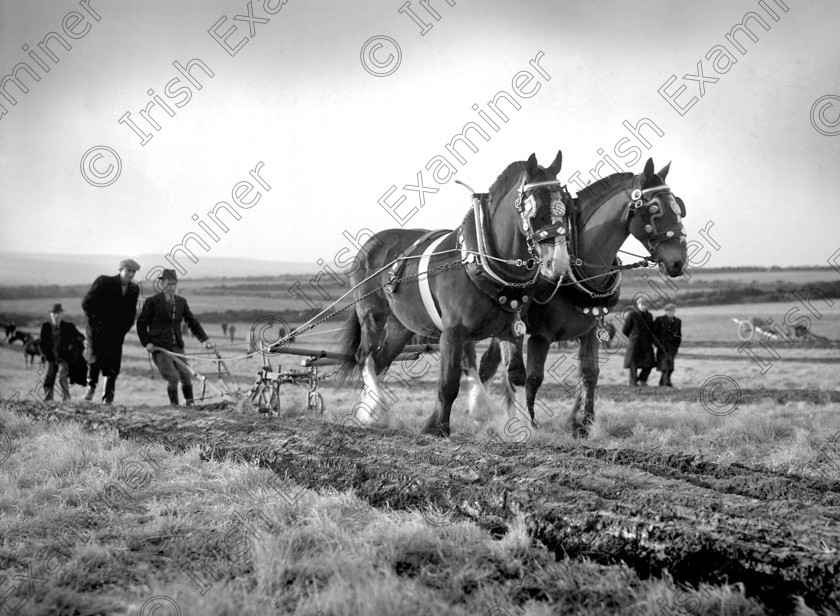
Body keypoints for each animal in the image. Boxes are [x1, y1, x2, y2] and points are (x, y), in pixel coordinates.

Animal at [338, 151, 576, 436]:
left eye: (566, 205)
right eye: (535, 209)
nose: (558, 263)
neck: (480, 260)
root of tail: (371, 243)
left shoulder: (512, 331)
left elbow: (516, 375)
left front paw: (521, 428)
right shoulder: (452, 332)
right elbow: (449, 381)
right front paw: (438, 427)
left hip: (400, 327)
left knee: (380, 360)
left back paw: (369, 412)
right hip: (372, 315)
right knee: (365, 357)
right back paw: (374, 411)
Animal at [480, 160, 688, 438]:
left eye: (678, 207)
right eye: (655, 208)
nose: (678, 262)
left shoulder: (590, 332)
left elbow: (591, 374)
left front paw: (583, 423)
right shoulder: (541, 336)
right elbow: (534, 378)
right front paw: (531, 424)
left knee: (490, 365)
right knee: (504, 367)